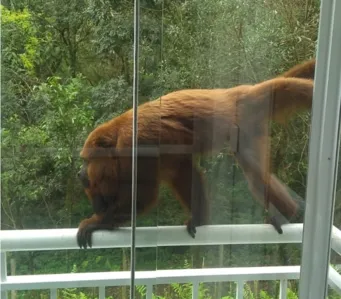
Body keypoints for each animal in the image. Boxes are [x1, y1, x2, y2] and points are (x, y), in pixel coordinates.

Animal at [76, 58, 314, 248]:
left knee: (254, 174)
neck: (116, 138)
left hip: (242, 120)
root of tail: (238, 93)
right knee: (254, 173)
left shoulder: (135, 146)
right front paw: (199, 218)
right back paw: (288, 212)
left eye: (87, 160)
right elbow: (182, 172)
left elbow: (144, 197)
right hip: (249, 127)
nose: (80, 172)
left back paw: (287, 214)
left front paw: (95, 222)